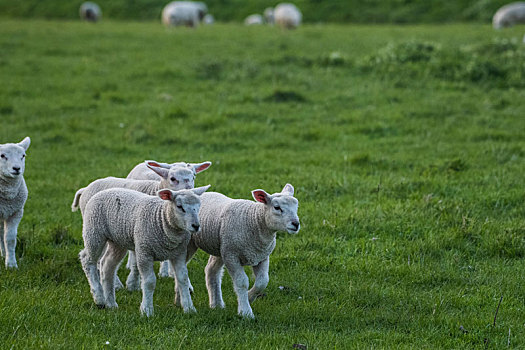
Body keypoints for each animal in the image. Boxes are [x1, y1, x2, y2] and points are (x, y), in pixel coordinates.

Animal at [78, 186, 209, 318]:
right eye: (179, 206)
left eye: (199, 206)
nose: (196, 226)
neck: (162, 219)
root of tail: (104, 190)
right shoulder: (144, 252)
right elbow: (150, 282)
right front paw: (147, 310)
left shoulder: (179, 253)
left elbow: (183, 279)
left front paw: (189, 308)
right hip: (94, 232)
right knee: (87, 260)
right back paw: (99, 298)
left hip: (117, 242)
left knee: (107, 265)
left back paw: (111, 303)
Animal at [185, 185, 298, 318]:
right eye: (277, 207)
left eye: (296, 206)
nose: (296, 224)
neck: (254, 220)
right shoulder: (232, 257)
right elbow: (242, 282)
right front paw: (245, 311)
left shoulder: (262, 256)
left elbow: (262, 281)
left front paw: (249, 297)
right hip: (195, 244)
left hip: (221, 248)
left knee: (211, 270)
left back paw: (216, 305)